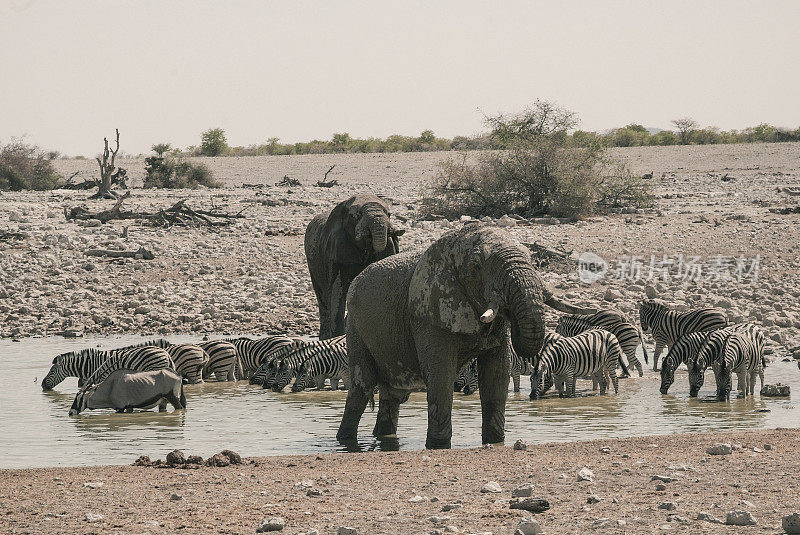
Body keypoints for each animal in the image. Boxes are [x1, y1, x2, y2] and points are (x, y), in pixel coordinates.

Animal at [304, 196, 404, 340]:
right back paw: (325, 338)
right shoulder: (336, 250)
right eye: (356, 216)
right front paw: (338, 337)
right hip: (312, 262)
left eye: (389, 214)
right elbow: (337, 289)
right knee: (322, 295)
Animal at [334, 224, 592, 450]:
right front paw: (438, 446)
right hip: (355, 326)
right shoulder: (428, 312)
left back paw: (383, 438)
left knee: (393, 396)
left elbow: (497, 375)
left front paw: (495, 442)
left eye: (531, 259)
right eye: (477, 266)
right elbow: (441, 375)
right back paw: (345, 442)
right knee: (362, 387)